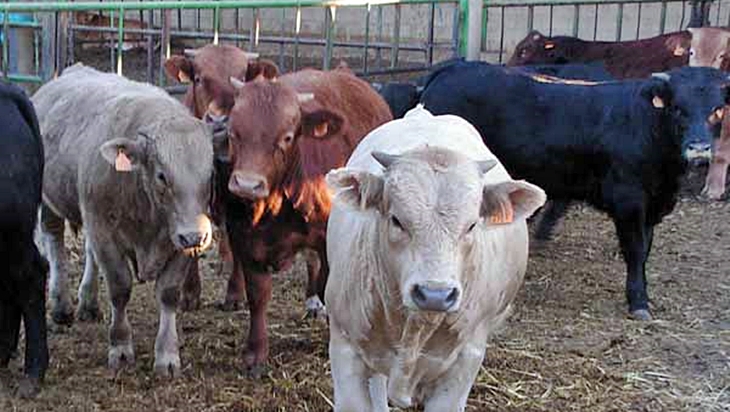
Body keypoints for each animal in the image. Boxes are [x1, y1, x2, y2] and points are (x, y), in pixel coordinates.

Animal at [33, 64, 214, 377]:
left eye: (211, 173)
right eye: (162, 176)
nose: (196, 237)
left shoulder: (178, 239)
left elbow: (168, 294)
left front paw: (167, 355)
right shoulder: (105, 231)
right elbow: (119, 288)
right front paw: (120, 347)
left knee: (88, 251)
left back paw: (88, 303)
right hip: (50, 199)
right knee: (54, 240)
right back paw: (61, 305)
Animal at [222, 68, 392, 375]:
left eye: (287, 137)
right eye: (233, 131)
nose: (247, 185)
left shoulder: (328, 240)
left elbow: (328, 285)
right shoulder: (244, 238)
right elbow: (258, 295)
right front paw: (255, 353)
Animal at [325, 106, 546, 411]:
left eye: (472, 225)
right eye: (396, 220)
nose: (435, 294)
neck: (416, 326)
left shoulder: (465, 362)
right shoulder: (345, 347)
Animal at [420, 61, 730, 321]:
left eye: (717, 110)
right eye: (678, 108)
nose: (699, 148)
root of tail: (454, 68)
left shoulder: (652, 206)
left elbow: (645, 249)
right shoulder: (629, 201)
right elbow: (635, 250)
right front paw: (638, 302)